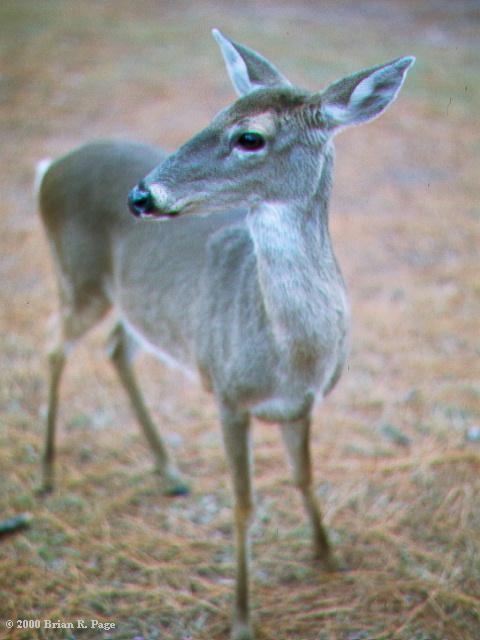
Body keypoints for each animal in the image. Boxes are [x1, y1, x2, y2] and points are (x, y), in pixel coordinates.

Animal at [37, 30, 414, 640]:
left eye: (250, 136)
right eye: (216, 114)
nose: (141, 196)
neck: (291, 353)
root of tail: (49, 168)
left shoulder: (303, 404)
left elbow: (305, 478)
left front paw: (329, 555)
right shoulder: (228, 395)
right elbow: (243, 504)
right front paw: (241, 615)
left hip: (141, 304)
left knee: (116, 349)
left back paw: (169, 470)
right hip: (78, 277)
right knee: (53, 346)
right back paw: (47, 473)